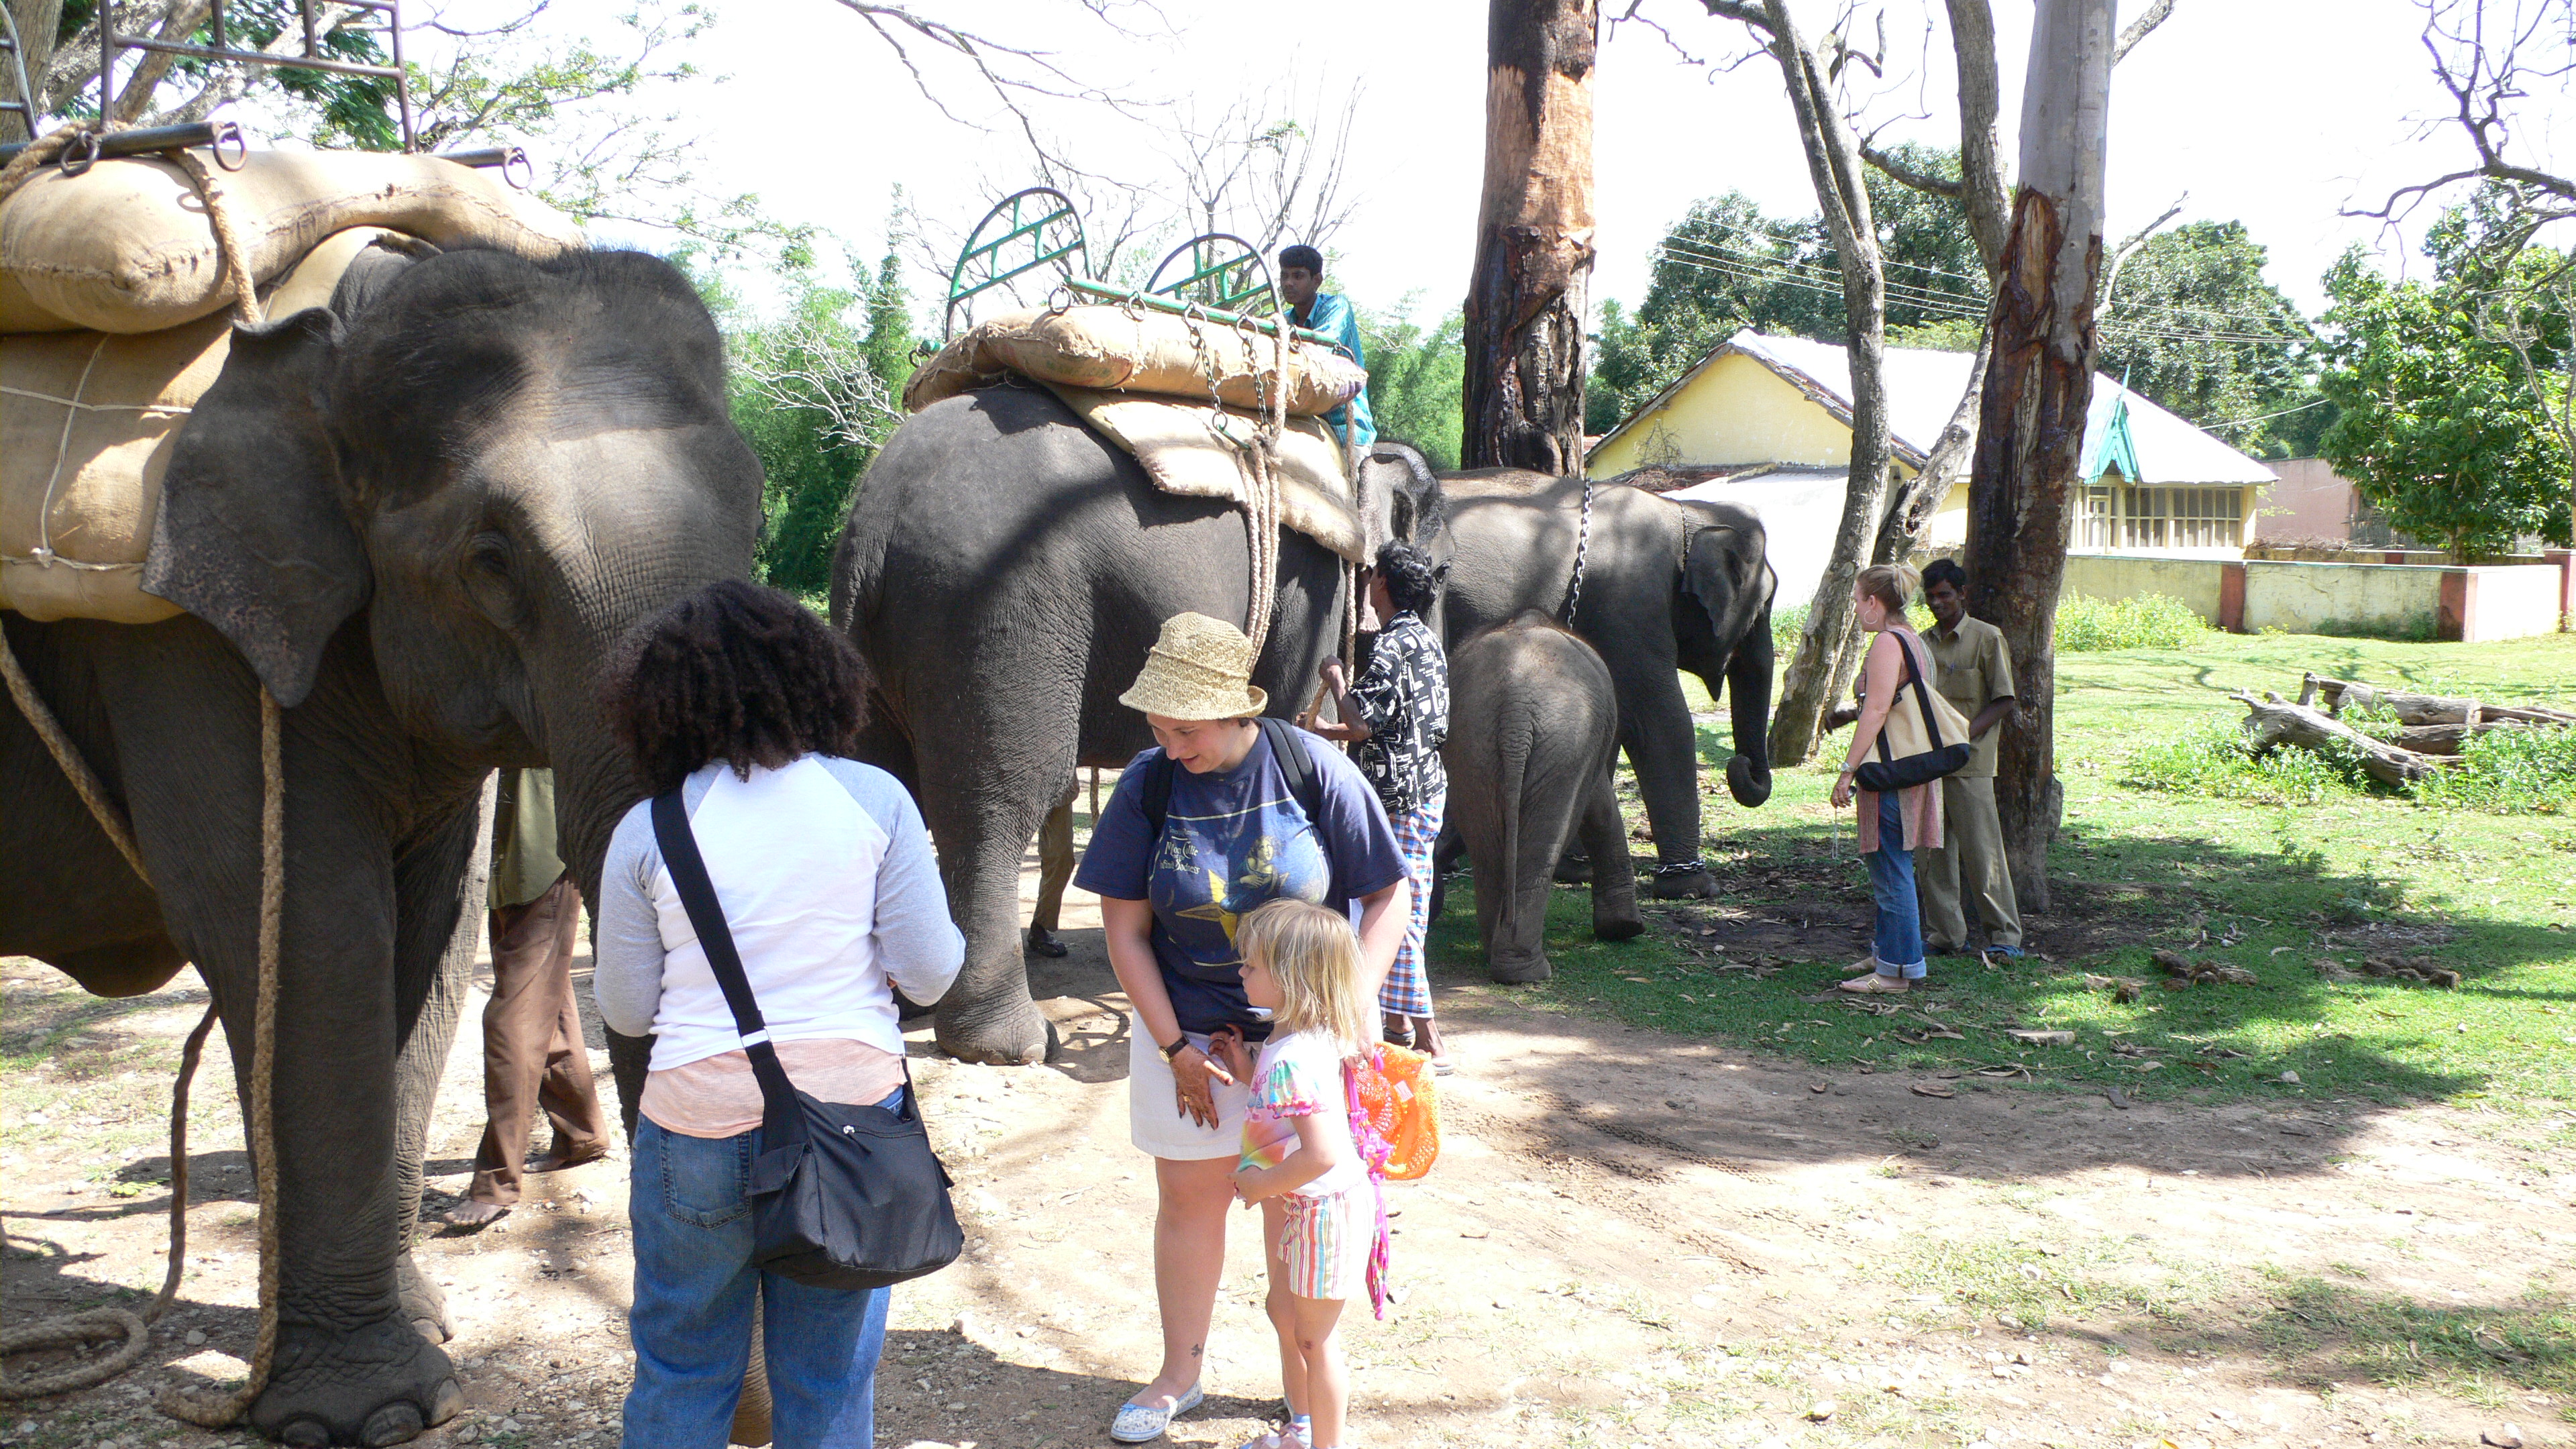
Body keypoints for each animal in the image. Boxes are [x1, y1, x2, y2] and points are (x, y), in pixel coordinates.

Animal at [0, 243, 761, 1444]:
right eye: (492, 559)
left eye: (759, 519)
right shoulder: (192, 651)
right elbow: (314, 940)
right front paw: (370, 1412)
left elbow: (429, 941)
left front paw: (428, 1336)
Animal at [832, 384, 1446, 1066]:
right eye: (1436, 570)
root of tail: (874, 521)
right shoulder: (1311, 586)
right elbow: (1286, 718)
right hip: (995, 615)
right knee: (996, 804)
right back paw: (1010, 1045)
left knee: (888, 784)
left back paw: (906, 1000)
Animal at [1439, 470, 1775, 899]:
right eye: (1763, 606)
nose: (1741, 765)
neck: (1686, 512)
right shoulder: (1631, 603)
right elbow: (1660, 723)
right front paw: (1694, 888)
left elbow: (1610, 722)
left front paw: (1576, 870)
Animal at [1444, 613, 1643, 982]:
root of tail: (1517, 711)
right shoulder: (1589, 754)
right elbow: (1601, 807)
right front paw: (1625, 930)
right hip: (1564, 741)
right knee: (1541, 847)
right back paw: (1528, 972)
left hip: (1473, 741)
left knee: (1488, 849)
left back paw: (1499, 955)